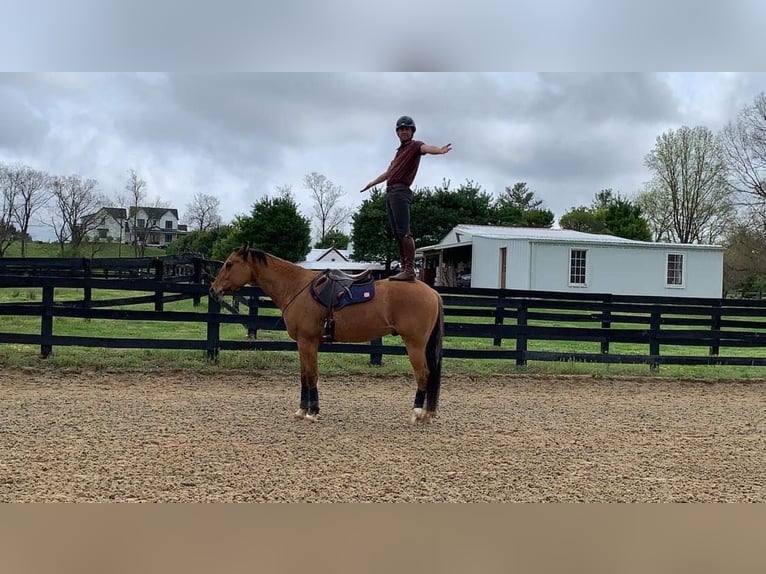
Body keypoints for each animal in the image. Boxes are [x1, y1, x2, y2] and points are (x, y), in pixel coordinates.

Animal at [209, 246, 444, 424]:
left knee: (423, 374)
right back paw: (427, 413)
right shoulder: (302, 344)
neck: (296, 287)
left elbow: (312, 376)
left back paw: (416, 413)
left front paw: (312, 412)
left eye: (229, 264)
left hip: (414, 345)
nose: (213, 290)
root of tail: (432, 292)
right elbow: (304, 376)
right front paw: (302, 410)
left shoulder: (308, 342)